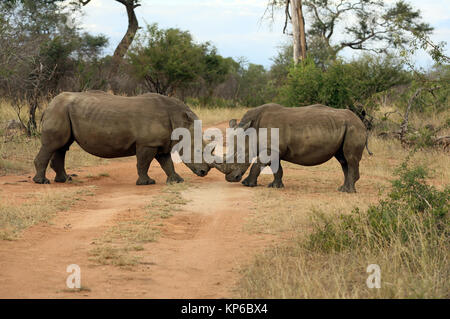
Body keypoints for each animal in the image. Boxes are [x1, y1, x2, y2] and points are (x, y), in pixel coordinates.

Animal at [32, 91, 212, 185]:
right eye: (198, 151)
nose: (204, 172)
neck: (178, 119)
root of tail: (47, 106)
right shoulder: (148, 143)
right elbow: (144, 163)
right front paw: (147, 183)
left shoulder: (160, 143)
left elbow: (167, 163)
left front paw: (177, 181)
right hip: (58, 111)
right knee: (53, 145)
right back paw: (42, 182)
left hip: (62, 111)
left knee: (62, 147)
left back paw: (64, 180)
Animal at [214, 104, 372, 194]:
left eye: (239, 155)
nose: (230, 179)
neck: (252, 129)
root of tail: (361, 122)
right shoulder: (274, 150)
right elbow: (277, 169)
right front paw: (275, 186)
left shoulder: (270, 150)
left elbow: (257, 165)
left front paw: (247, 184)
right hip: (346, 128)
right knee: (343, 160)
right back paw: (342, 189)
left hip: (353, 128)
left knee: (349, 159)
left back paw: (348, 192)